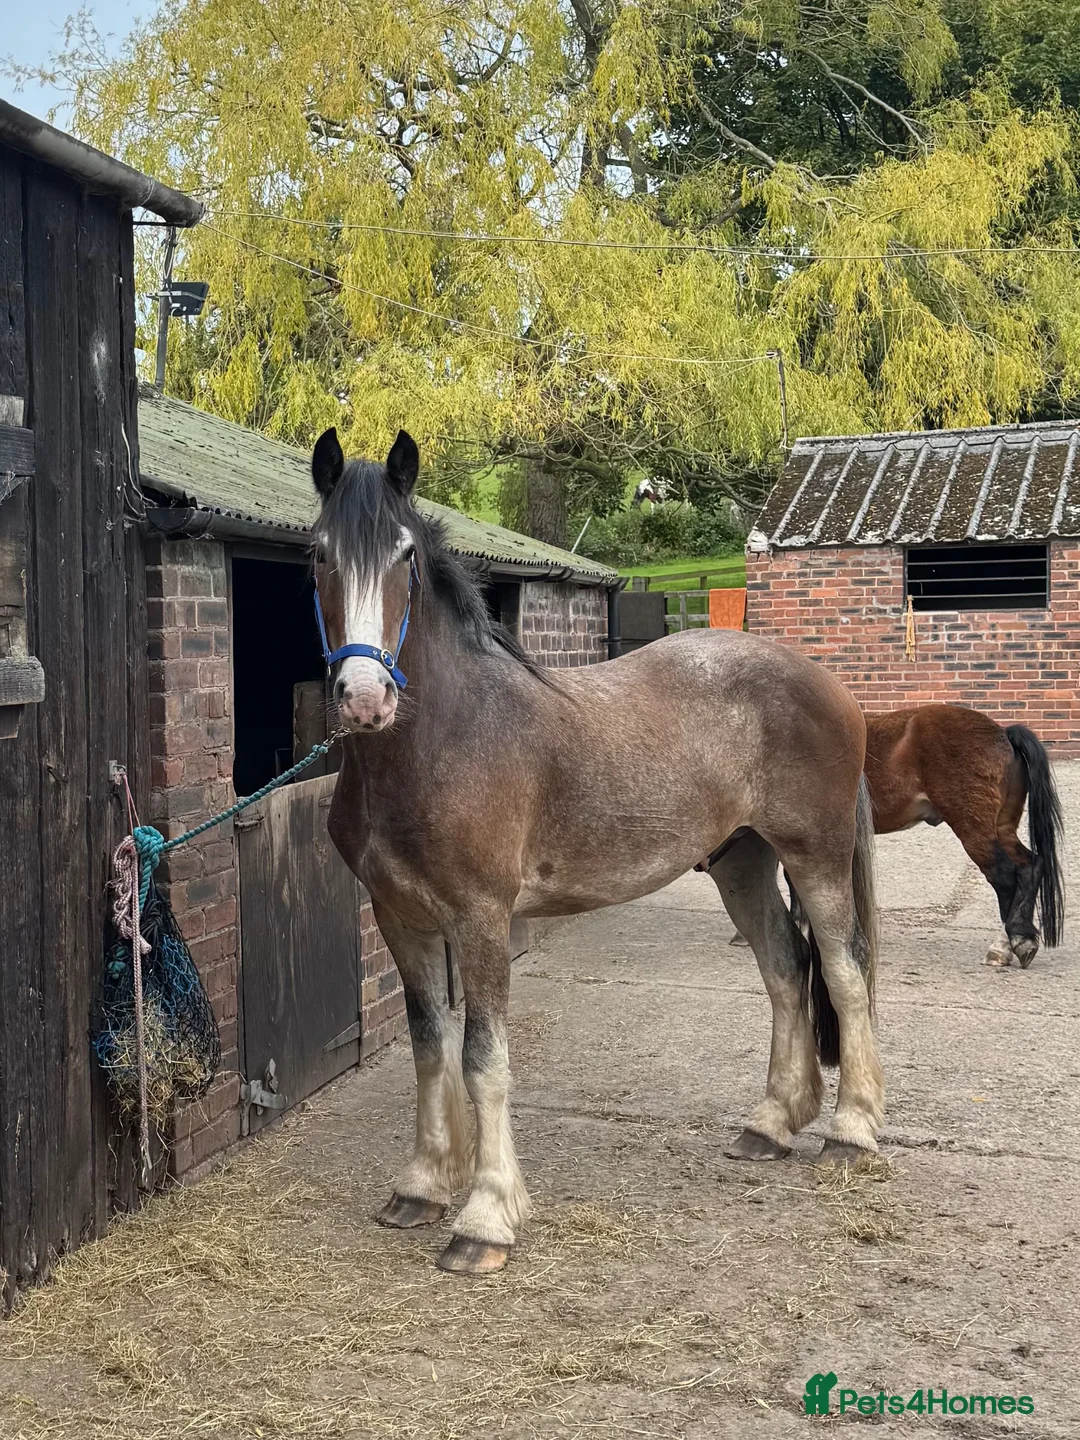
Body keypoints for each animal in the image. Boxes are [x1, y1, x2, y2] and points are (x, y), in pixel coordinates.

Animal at [310, 426, 882, 1275]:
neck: (439, 741)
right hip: (743, 863)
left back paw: (851, 1130)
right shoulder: (400, 917)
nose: (363, 698)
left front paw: (486, 1218)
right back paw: (772, 1123)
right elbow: (428, 1045)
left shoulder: (482, 920)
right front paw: (421, 1185)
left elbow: (483, 1058)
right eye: (318, 553)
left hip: (816, 858)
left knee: (842, 975)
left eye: (404, 556)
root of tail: (829, 685)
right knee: (785, 969)